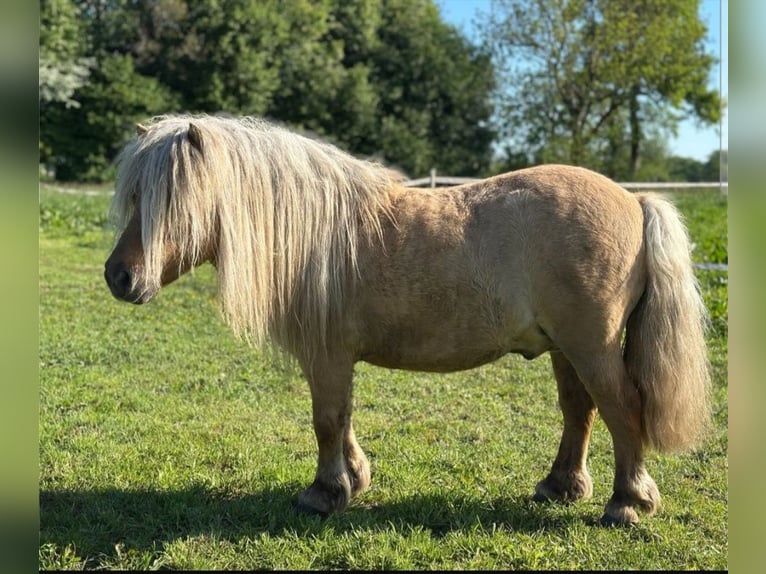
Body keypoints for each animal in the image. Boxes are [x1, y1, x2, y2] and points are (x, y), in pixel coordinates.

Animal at [104, 114, 711, 526]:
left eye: (168, 204)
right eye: (133, 198)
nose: (119, 277)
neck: (319, 236)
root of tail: (634, 200)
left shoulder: (326, 355)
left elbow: (326, 420)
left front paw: (324, 493)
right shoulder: (336, 358)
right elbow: (342, 418)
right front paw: (354, 480)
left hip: (592, 346)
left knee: (622, 409)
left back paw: (626, 503)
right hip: (566, 348)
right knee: (579, 411)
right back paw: (561, 486)